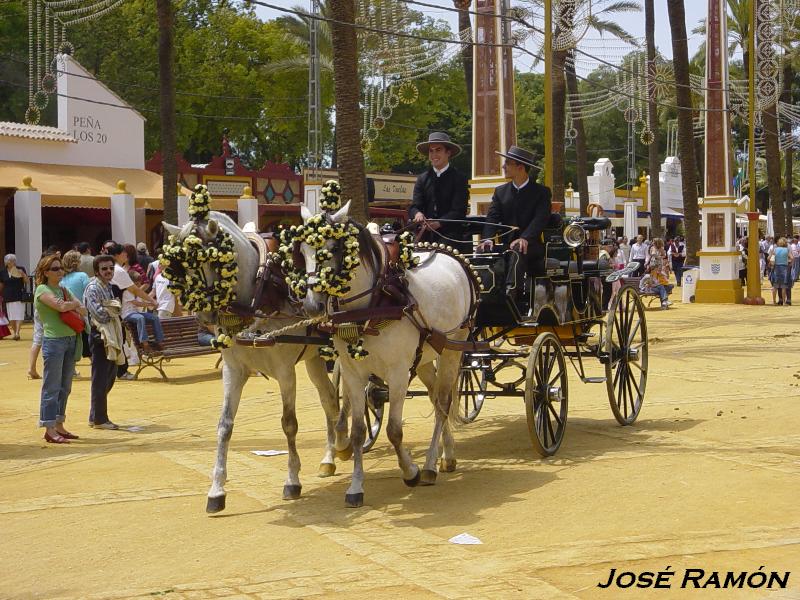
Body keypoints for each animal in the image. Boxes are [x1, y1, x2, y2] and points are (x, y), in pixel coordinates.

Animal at [162, 213, 350, 512]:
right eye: (180, 268)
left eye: (210, 261)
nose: (203, 316)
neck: (258, 295)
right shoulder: (233, 370)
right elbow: (224, 426)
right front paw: (216, 490)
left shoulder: (285, 371)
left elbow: (289, 423)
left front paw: (292, 481)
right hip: (313, 358)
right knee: (329, 399)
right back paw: (329, 458)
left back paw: (344, 445)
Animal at [298, 204, 476, 508]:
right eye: (302, 250)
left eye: (332, 248)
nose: (312, 306)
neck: (372, 304)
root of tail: (451, 255)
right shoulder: (353, 373)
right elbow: (358, 431)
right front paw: (355, 486)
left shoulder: (398, 374)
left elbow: (394, 430)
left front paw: (410, 472)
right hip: (426, 356)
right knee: (436, 398)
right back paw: (447, 456)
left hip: (454, 346)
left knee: (443, 403)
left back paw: (430, 465)